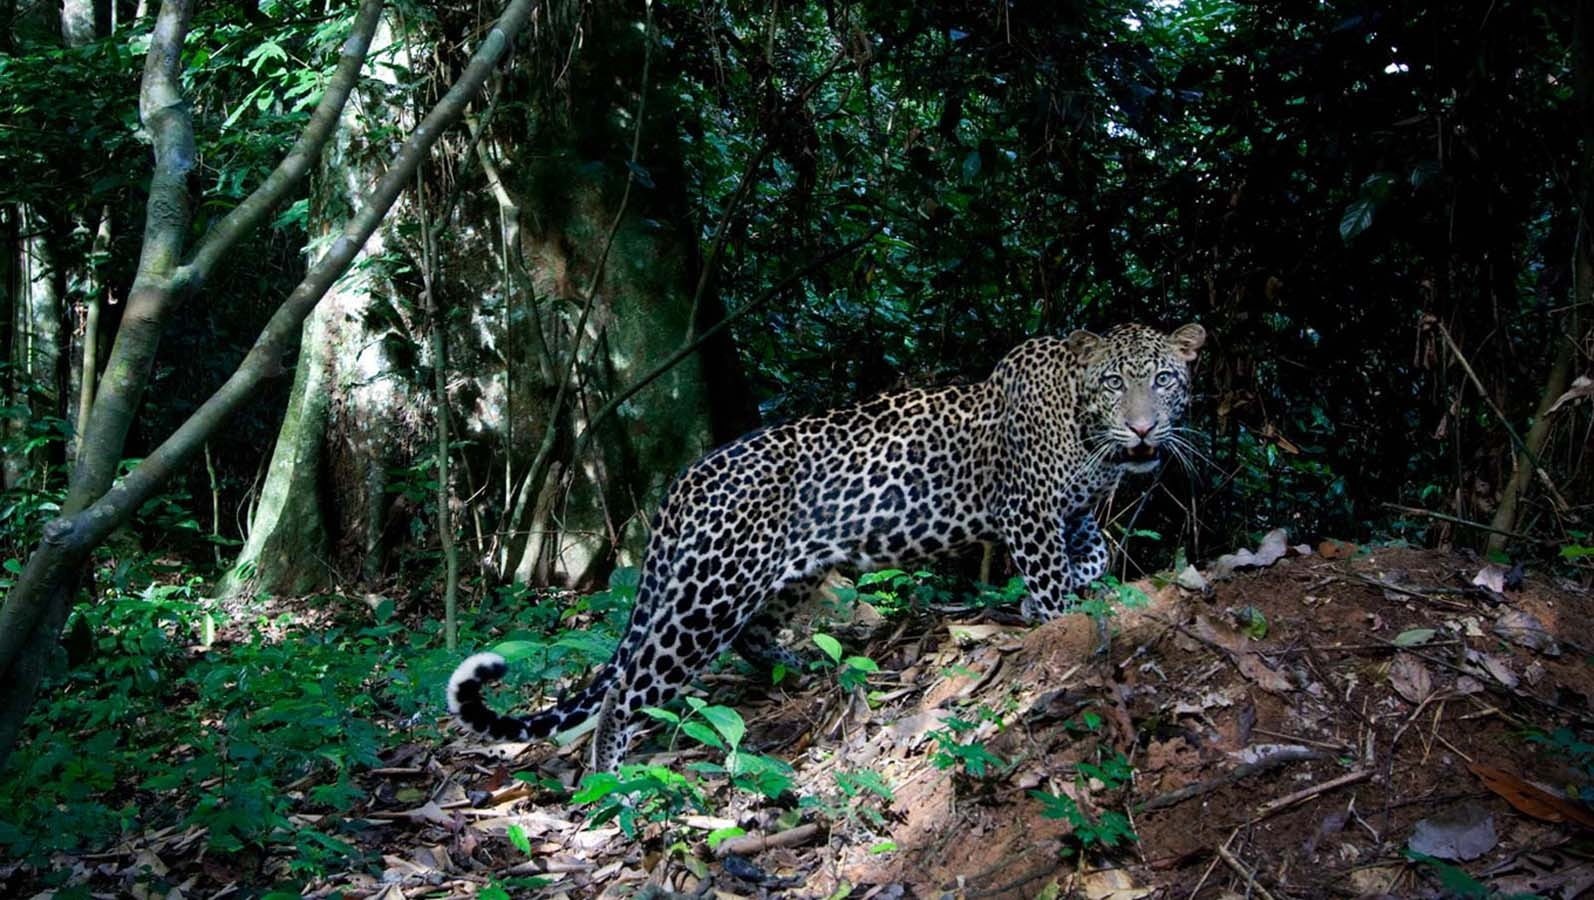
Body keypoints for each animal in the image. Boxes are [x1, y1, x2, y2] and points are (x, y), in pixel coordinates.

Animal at [449, 322, 1207, 772]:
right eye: (1114, 383)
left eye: (1165, 380)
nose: (1144, 430)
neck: (1086, 427)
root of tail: (685, 483)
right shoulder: (1028, 511)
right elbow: (1049, 581)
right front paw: (1061, 625)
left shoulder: (1072, 511)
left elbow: (1091, 553)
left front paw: (1085, 583)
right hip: (708, 594)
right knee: (631, 687)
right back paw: (609, 782)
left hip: (788, 576)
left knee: (753, 638)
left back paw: (805, 666)